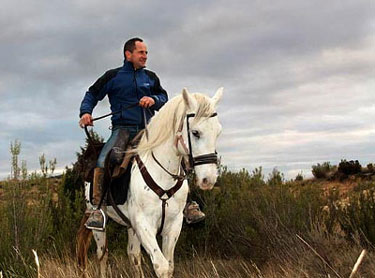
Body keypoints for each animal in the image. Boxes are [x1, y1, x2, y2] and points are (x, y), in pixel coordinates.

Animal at [76, 87, 223, 278]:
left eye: (218, 132)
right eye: (195, 132)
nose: (209, 179)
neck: (162, 175)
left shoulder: (173, 225)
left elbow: (169, 265)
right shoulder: (144, 224)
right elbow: (161, 266)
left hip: (130, 226)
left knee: (133, 255)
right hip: (99, 224)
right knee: (102, 254)